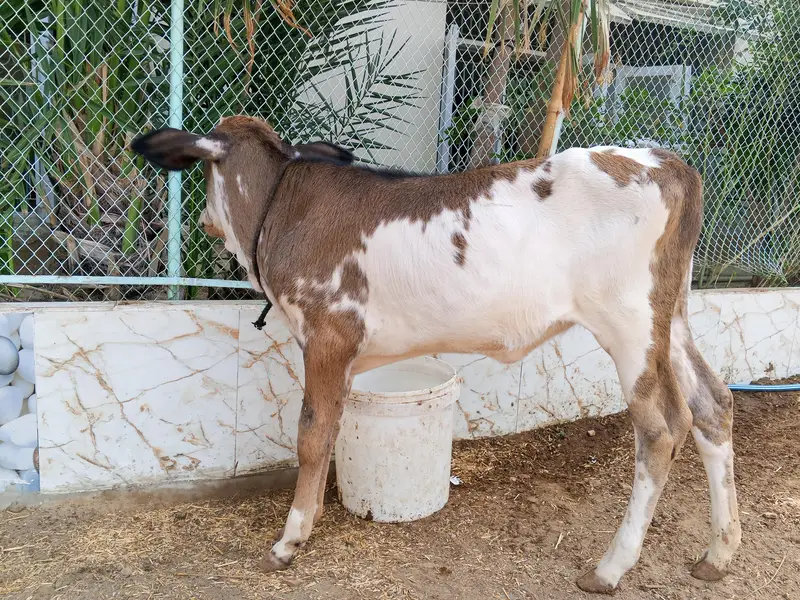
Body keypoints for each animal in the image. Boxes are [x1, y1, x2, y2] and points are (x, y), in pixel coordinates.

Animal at [130, 115, 740, 593]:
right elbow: (332, 429)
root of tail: (663, 160)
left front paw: (290, 539)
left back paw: (610, 568)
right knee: (712, 403)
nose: (202, 220)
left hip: (629, 323)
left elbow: (312, 433)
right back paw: (718, 552)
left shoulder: (328, 332)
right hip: (671, 316)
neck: (287, 207)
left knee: (662, 426)